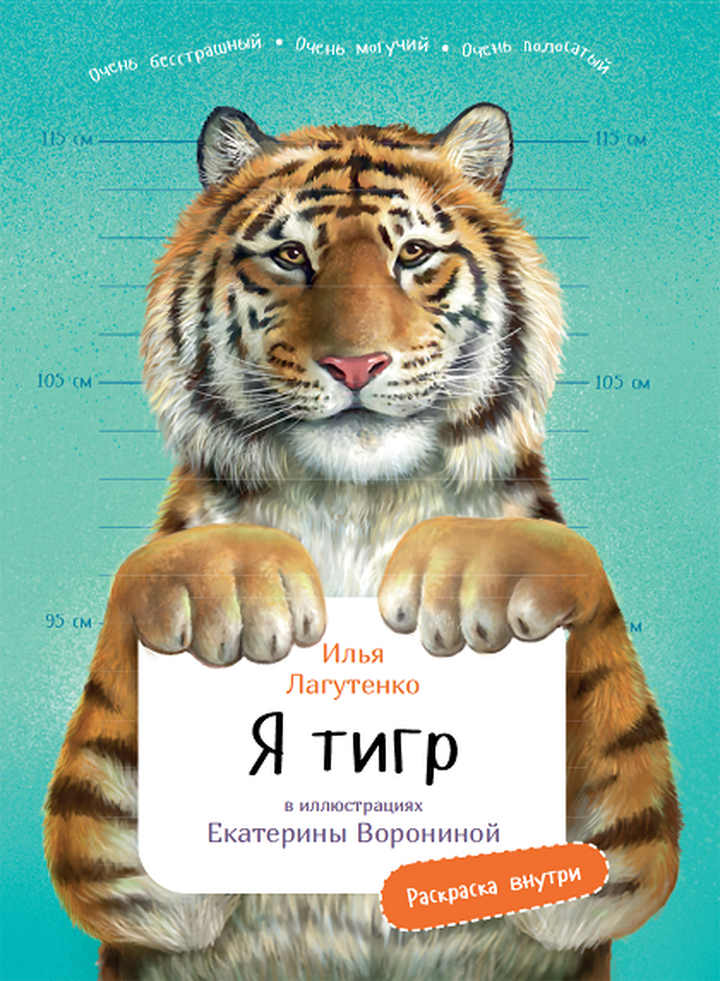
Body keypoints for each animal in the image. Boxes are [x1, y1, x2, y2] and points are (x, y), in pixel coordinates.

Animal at [44, 102, 680, 981]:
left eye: (413, 255)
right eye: (290, 256)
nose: (355, 364)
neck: (360, 503)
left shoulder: (606, 868)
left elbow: (578, 580)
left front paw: (463, 566)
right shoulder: (139, 888)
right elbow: (140, 588)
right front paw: (237, 581)